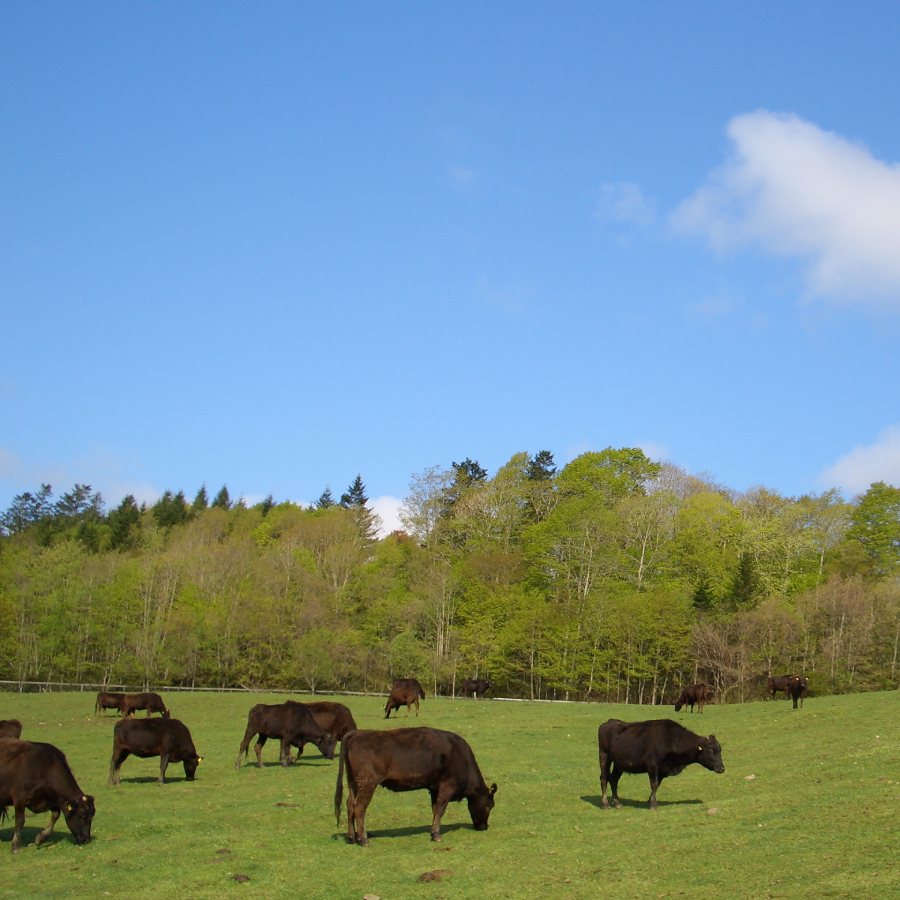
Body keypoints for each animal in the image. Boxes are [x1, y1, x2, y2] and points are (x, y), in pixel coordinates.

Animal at [336, 728, 496, 848]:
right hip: (367, 783)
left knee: (350, 804)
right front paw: (436, 835)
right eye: (489, 806)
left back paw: (352, 837)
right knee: (359, 808)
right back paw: (364, 840)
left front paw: (433, 831)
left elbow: (435, 808)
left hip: (353, 782)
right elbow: (441, 808)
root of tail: (357, 734)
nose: (483, 826)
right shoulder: (447, 785)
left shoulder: (434, 788)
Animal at [596, 712, 724, 812]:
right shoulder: (652, 765)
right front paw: (653, 805)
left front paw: (650, 800)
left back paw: (617, 803)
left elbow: (657, 785)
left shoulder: (662, 769)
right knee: (604, 778)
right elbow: (654, 784)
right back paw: (605, 804)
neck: (670, 739)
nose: (722, 768)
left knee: (613, 779)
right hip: (604, 756)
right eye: (710, 749)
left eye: (720, 749)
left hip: (619, 764)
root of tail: (609, 722)